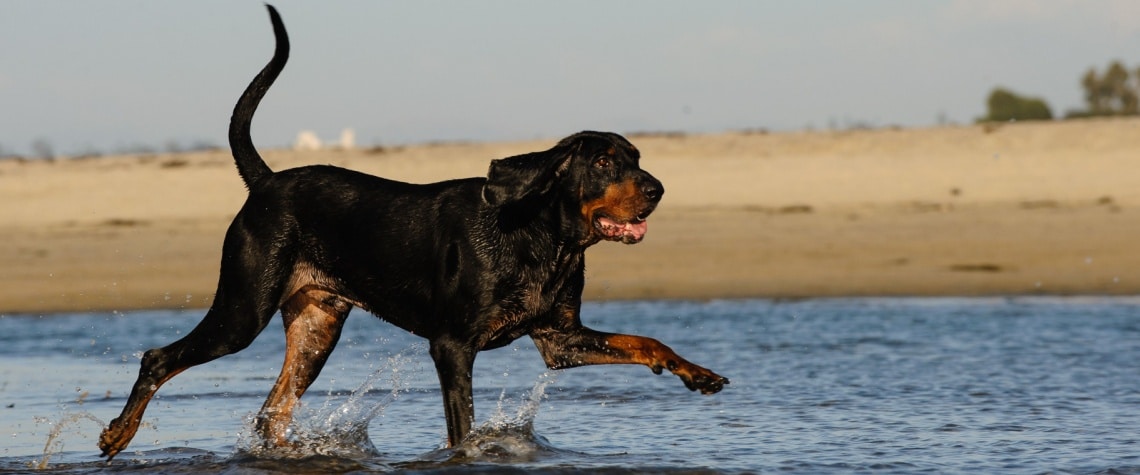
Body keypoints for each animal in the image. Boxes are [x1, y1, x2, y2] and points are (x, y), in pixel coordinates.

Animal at [98, 4, 725, 460]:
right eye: (602, 163)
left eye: (636, 158)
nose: (657, 188)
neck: (546, 241)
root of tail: (267, 181)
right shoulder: (451, 346)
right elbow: (461, 430)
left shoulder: (559, 340)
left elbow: (646, 342)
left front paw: (697, 373)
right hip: (243, 310)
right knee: (158, 359)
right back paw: (117, 434)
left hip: (316, 326)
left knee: (271, 411)